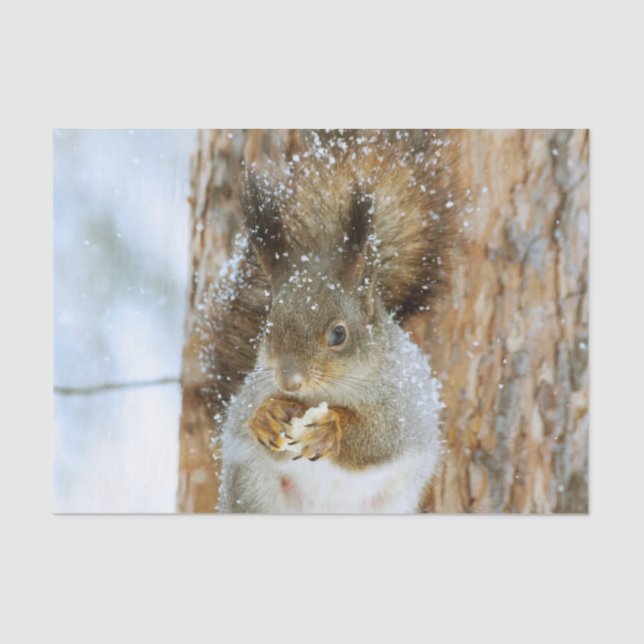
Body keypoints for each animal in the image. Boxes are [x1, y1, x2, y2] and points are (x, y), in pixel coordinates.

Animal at [200, 130, 461, 513]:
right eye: (268, 326)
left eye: (339, 334)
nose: (289, 381)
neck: (325, 393)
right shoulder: (252, 392)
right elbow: (245, 419)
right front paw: (266, 417)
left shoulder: (403, 405)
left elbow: (379, 439)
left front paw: (330, 429)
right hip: (251, 493)